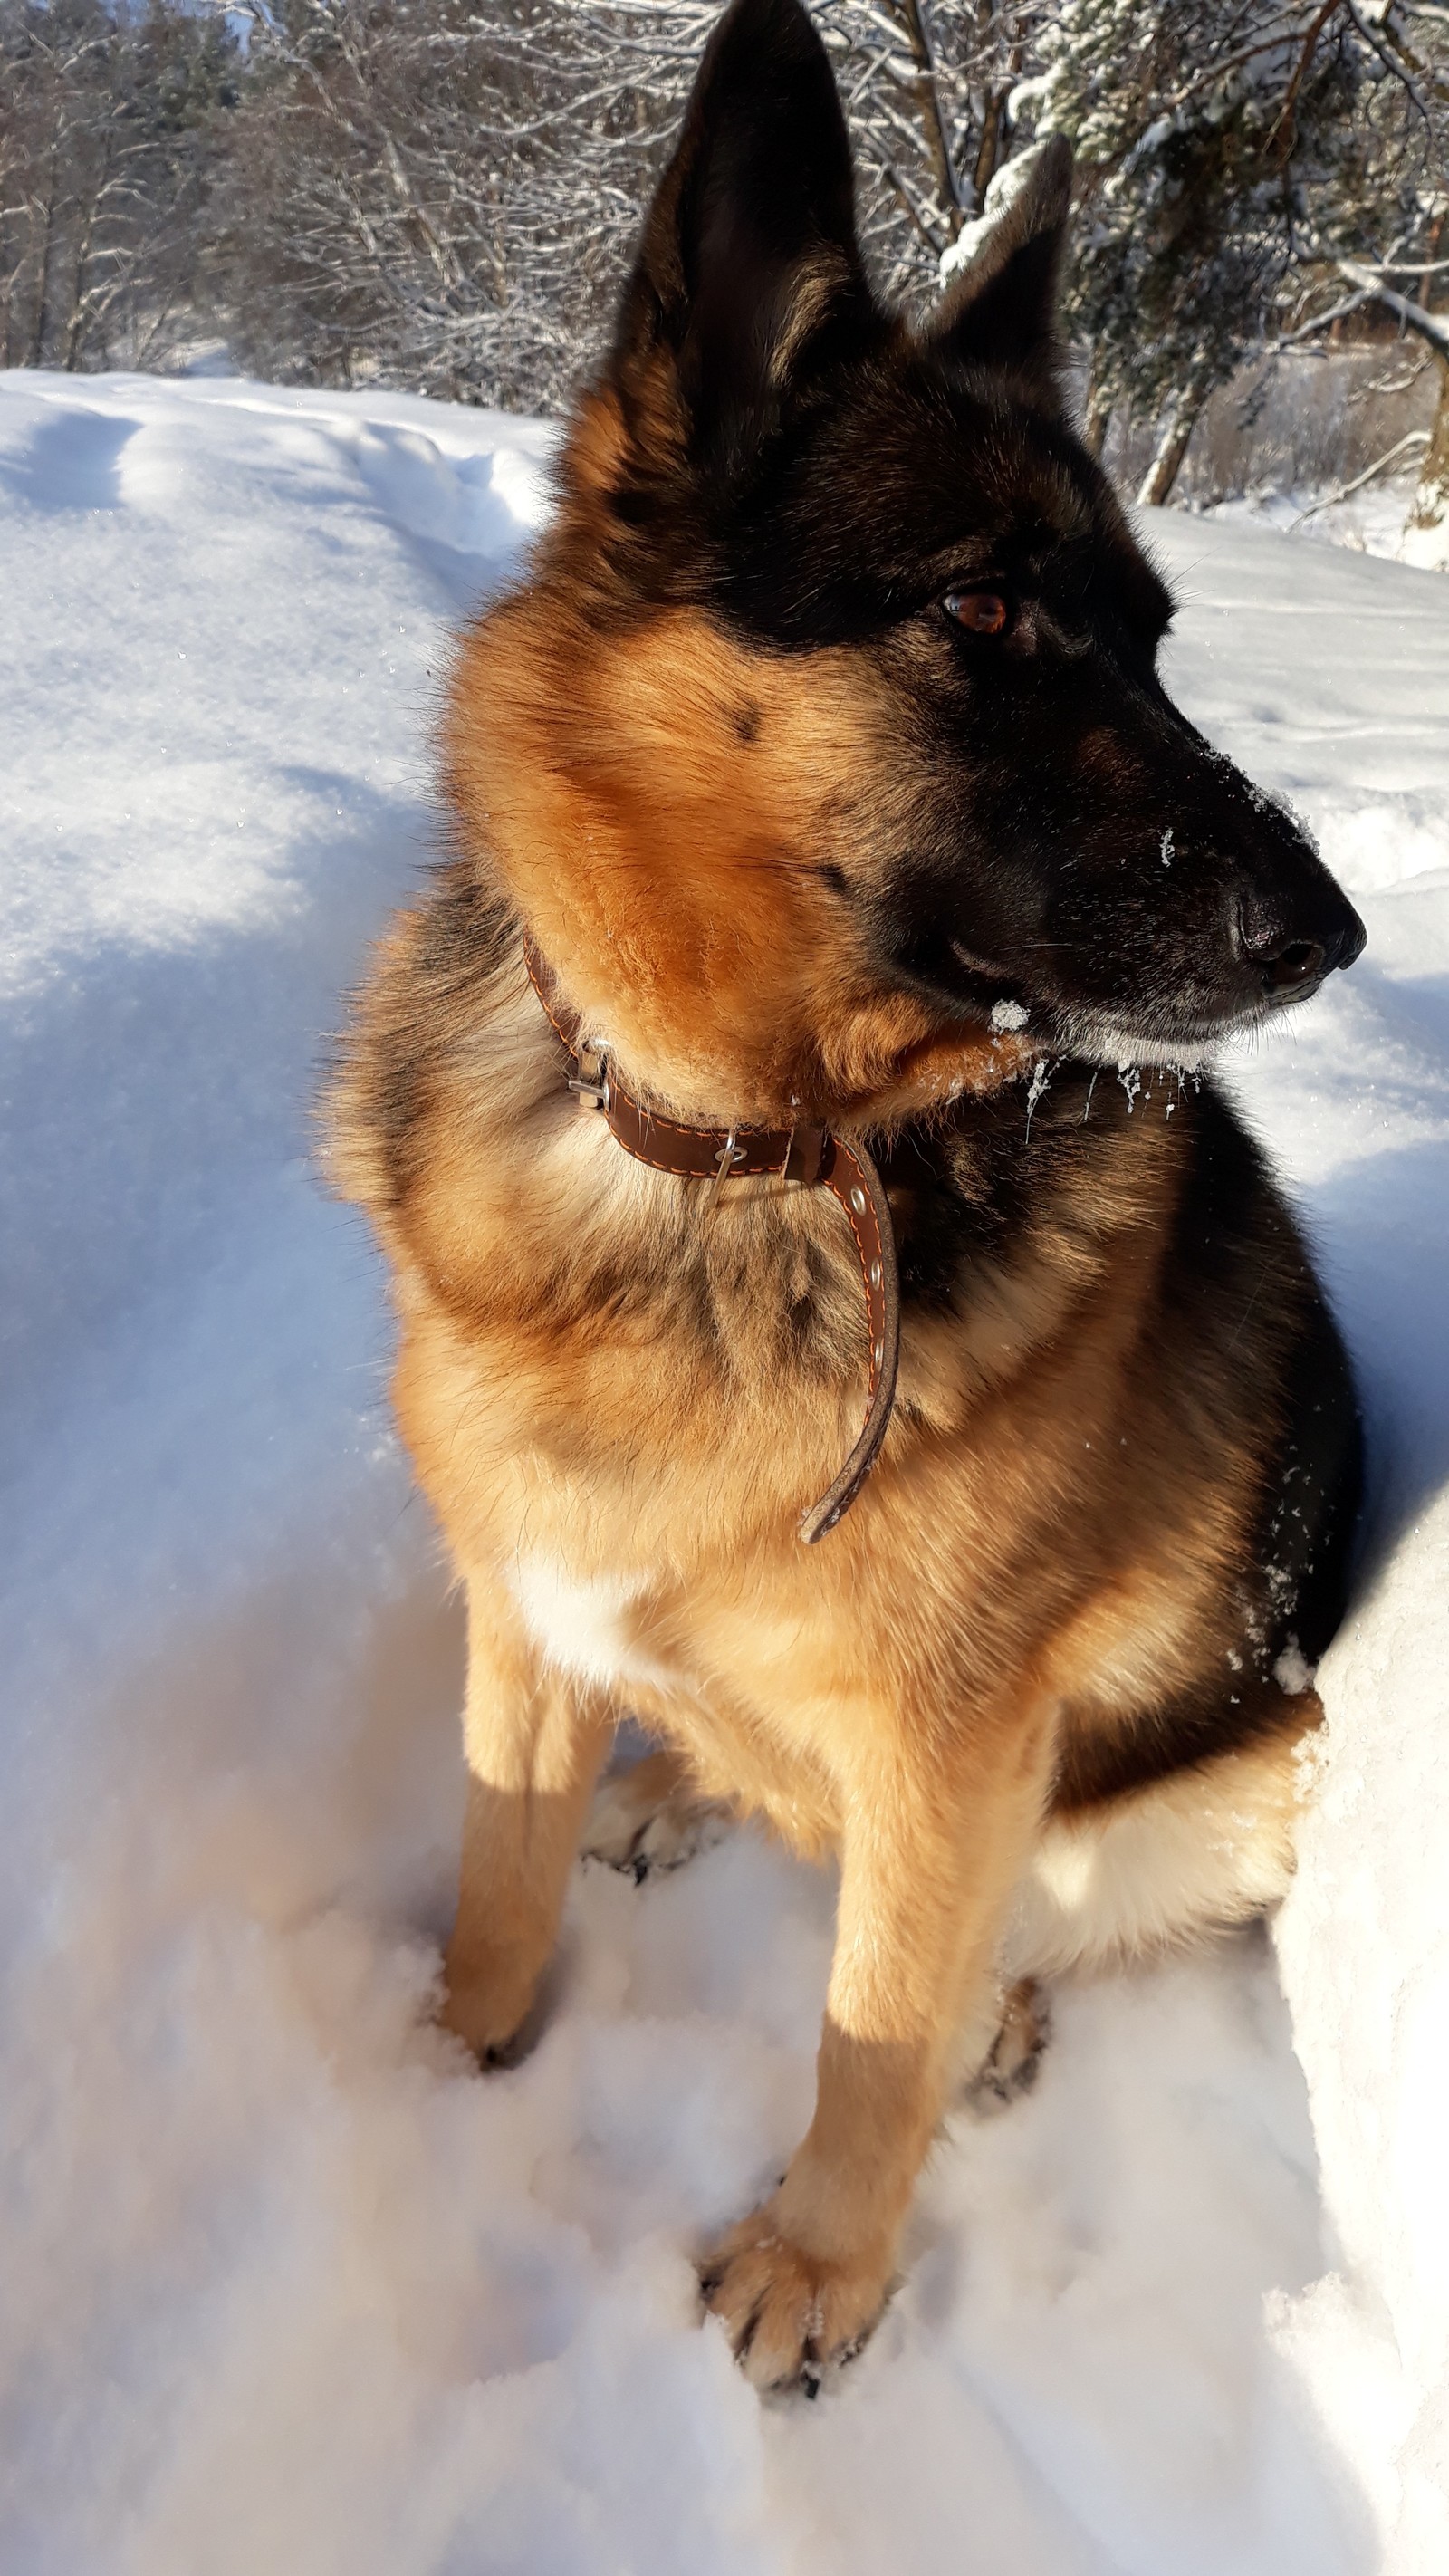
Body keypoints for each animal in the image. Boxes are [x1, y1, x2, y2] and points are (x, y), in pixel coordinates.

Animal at [329, 0, 1358, 2390]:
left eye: (1152, 638)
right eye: (976, 607)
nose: (1336, 934)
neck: (735, 1158)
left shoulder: (953, 1751)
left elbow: (868, 2026)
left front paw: (819, 2261)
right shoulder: (523, 1619)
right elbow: (496, 1874)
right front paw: (443, 2058)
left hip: (1219, 1782)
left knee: (1005, 1939)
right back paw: (674, 1783)